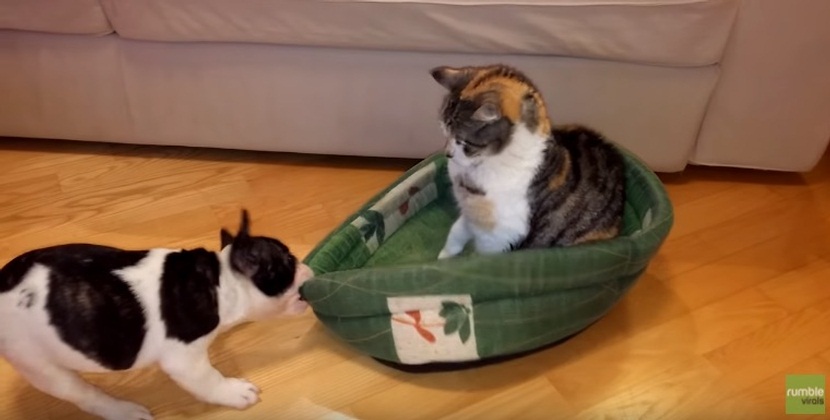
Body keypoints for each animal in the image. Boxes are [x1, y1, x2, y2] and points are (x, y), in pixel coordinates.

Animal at [0, 210, 312, 420]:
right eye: (288, 261)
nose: (308, 268)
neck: (219, 280)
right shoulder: (184, 359)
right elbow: (208, 379)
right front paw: (234, 393)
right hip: (37, 362)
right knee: (80, 393)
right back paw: (123, 411)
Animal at [432, 64, 628, 260]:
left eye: (463, 141)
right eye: (445, 132)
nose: (448, 154)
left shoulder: (498, 235)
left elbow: (483, 258)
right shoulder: (469, 213)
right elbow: (457, 232)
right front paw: (444, 257)